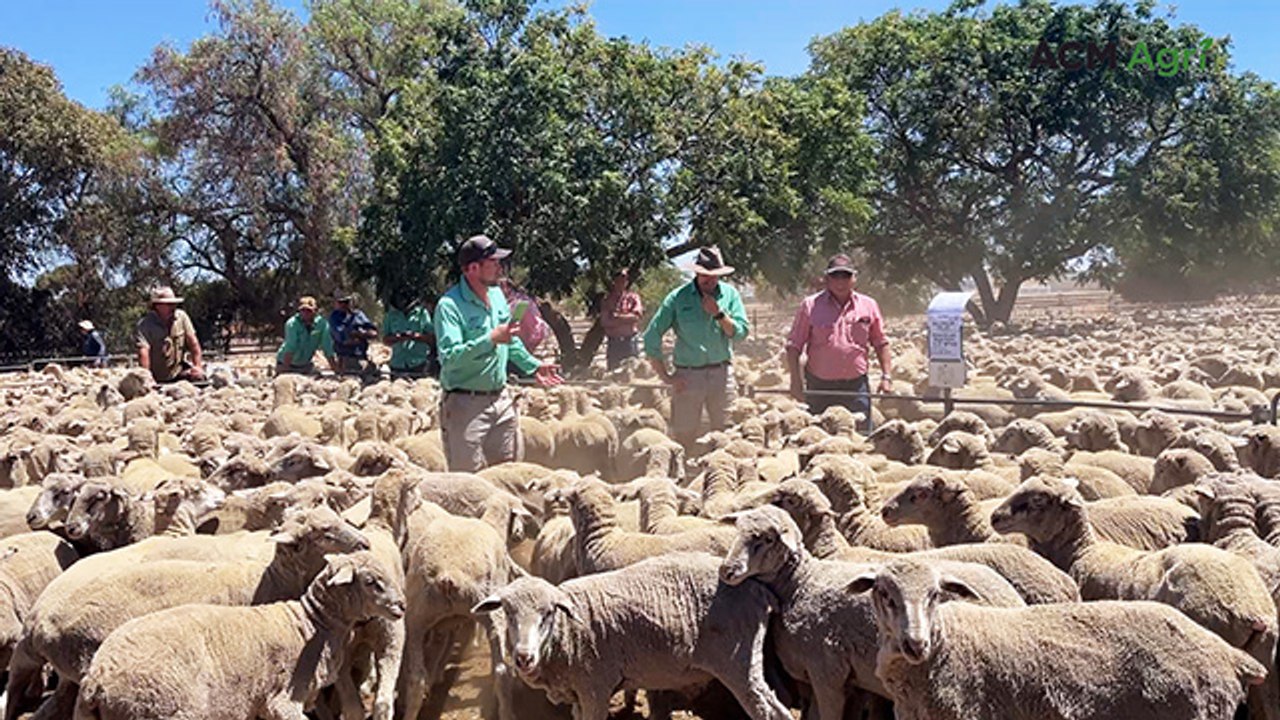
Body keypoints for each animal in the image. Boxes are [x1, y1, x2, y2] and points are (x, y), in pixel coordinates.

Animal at [74, 551, 405, 720]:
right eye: (371, 581)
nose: (402, 606)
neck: (311, 625)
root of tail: (98, 679)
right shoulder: (282, 701)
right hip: (163, 711)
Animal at [472, 552, 793, 720]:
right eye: (508, 612)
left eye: (548, 613)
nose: (524, 657)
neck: (568, 635)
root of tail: (757, 588)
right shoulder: (578, 693)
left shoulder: (595, 688)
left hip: (738, 663)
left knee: (766, 710)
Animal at [717, 505, 1024, 720]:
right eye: (737, 532)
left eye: (767, 539)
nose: (727, 570)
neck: (800, 583)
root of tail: (1013, 597)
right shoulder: (830, 680)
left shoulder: (828, 673)